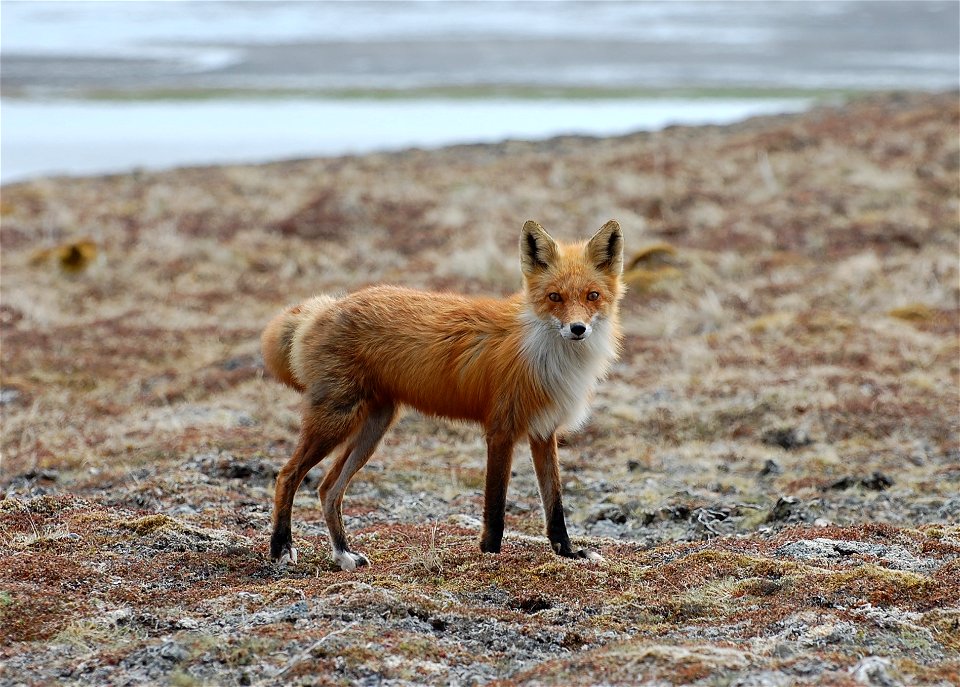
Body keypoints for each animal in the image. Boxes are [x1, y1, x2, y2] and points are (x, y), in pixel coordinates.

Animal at [260, 220, 624, 568]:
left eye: (592, 296)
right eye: (555, 297)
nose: (578, 329)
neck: (548, 354)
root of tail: (327, 306)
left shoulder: (544, 432)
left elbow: (555, 506)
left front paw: (569, 553)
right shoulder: (501, 430)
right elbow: (496, 506)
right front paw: (490, 555)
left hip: (373, 429)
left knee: (328, 489)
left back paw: (343, 554)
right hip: (336, 421)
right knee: (287, 476)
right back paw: (282, 548)